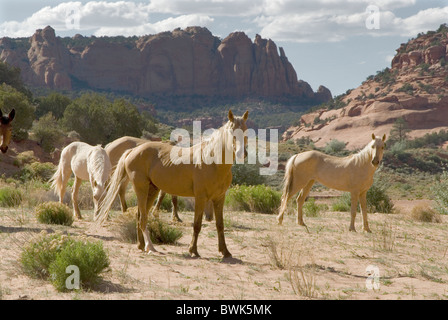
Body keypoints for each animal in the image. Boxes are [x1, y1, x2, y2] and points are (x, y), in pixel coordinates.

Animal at [98, 110, 250, 258]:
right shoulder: (200, 198)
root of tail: (132, 151)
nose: (242, 153)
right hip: (141, 189)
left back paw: (141, 245)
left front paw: (225, 251)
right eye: (232, 132)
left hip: (152, 190)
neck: (212, 162)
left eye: (245, 131)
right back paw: (150, 247)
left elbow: (220, 225)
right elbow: (197, 225)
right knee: (143, 218)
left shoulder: (219, 198)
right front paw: (193, 250)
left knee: (139, 215)